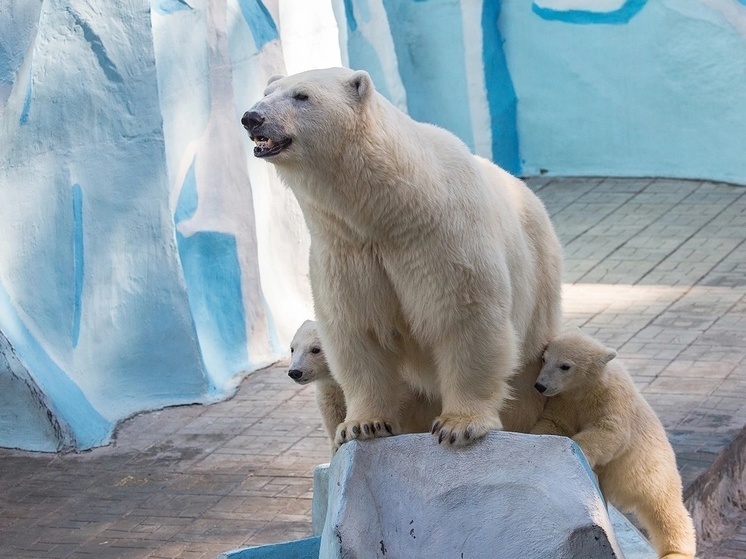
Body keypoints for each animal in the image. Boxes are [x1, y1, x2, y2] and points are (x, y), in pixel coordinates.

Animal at [241, 66, 560, 450]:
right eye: (266, 93)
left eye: (301, 95)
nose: (251, 117)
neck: (389, 208)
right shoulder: (345, 250)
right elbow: (356, 330)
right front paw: (362, 424)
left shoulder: (441, 238)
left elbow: (466, 316)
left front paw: (459, 425)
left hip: (539, 286)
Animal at [528, 330, 696, 556]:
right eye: (544, 359)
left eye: (565, 366)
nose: (540, 385)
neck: (587, 387)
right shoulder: (564, 401)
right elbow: (554, 423)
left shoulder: (611, 398)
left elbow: (611, 432)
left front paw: (579, 453)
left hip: (655, 474)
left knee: (665, 511)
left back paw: (676, 552)